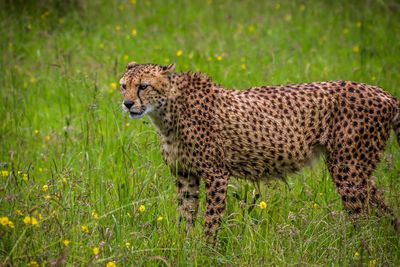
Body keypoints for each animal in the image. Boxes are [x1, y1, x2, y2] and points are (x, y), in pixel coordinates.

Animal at [119, 61, 400, 244]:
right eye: (123, 86)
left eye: (143, 86)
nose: (127, 103)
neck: (167, 111)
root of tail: (383, 92)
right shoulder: (185, 175)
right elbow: (185, 218)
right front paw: (184, 248)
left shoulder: (216, 174)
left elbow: (210, 221)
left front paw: (205, 251)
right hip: (357, 169)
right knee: (380, 207)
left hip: (348, 170)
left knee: (361, 217)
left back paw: (356, 248)